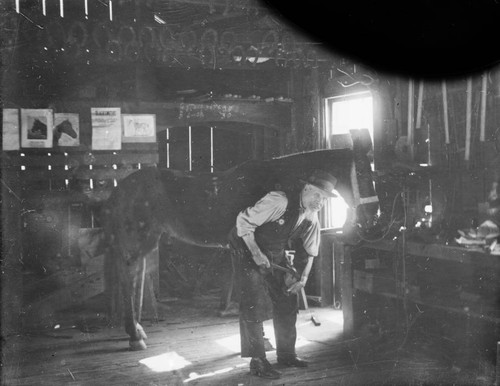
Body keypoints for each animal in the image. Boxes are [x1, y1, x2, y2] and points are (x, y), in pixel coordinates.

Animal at [100, 129, 378, 350]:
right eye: (364, 174)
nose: (372, 218)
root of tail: (118, 190)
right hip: (136, 239)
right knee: (127, 276)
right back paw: (134, 336)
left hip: (146, 239)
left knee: (134, 276)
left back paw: (137, 329)